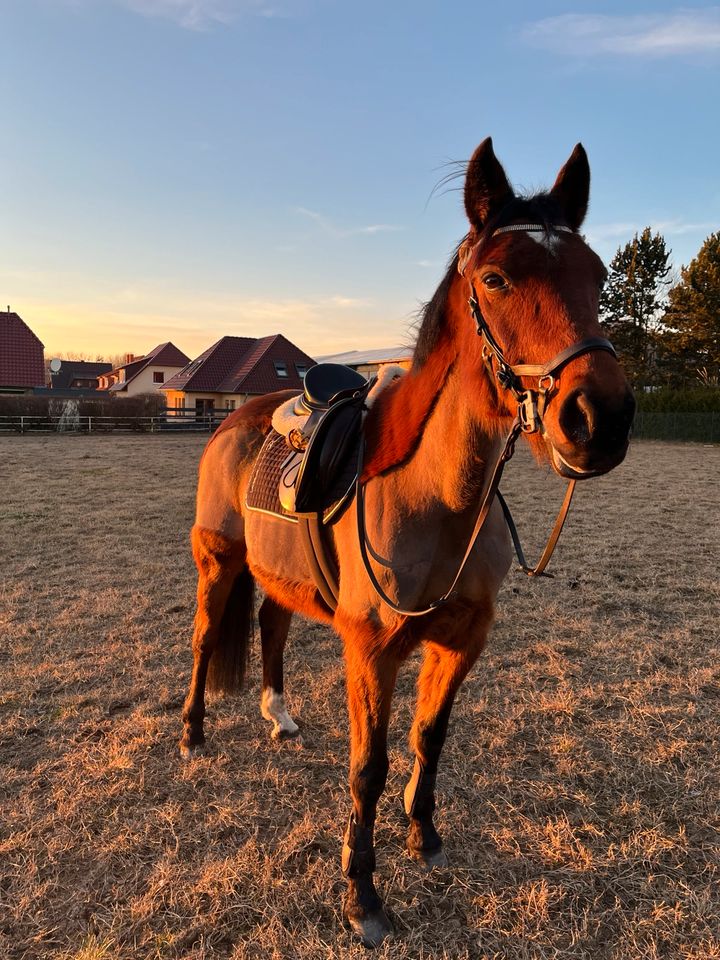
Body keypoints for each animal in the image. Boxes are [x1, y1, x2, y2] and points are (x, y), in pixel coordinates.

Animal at [180, 139, 636, 948]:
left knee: (270, 625)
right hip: (220, 561)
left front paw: (423, 837)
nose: (600, 418)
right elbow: (370, 766)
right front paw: (362, 894)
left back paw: (279, 715)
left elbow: (430, 737)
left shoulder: (463, 640)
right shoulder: (372, 651)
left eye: (598, 275)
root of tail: (233, 418)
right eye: (495, 277)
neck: (434, 499)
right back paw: (194, 732)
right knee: (207, 637)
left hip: (278, 574)